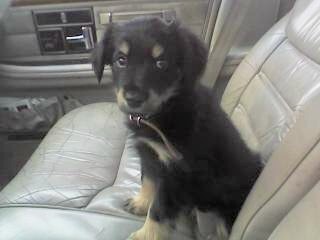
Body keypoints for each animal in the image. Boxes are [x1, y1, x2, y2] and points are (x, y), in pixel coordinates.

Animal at [91, 17, 262, 240]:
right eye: (121, 60)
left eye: (161, 63)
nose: (133, 99)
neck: (165, 110)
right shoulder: (150, 153)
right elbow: (148, 180)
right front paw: (141, 202)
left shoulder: (177, 172)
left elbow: (160, 208)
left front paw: (145, 235)